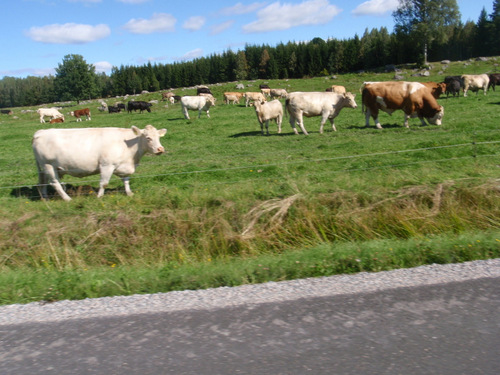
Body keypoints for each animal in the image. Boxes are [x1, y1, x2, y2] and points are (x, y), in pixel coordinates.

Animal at [32, 125, 167, 203]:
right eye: (148, 138)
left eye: (159, 137)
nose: (160, 149)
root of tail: (40, 132)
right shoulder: (107, 165)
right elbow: (104, 183)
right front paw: (99, 197)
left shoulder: (124, 165)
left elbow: (126, 180)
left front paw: (129, 193)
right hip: (48, 165)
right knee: (55, 183)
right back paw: (67, 199)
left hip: (45, 168)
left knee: (42, 182)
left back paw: (45, 198)